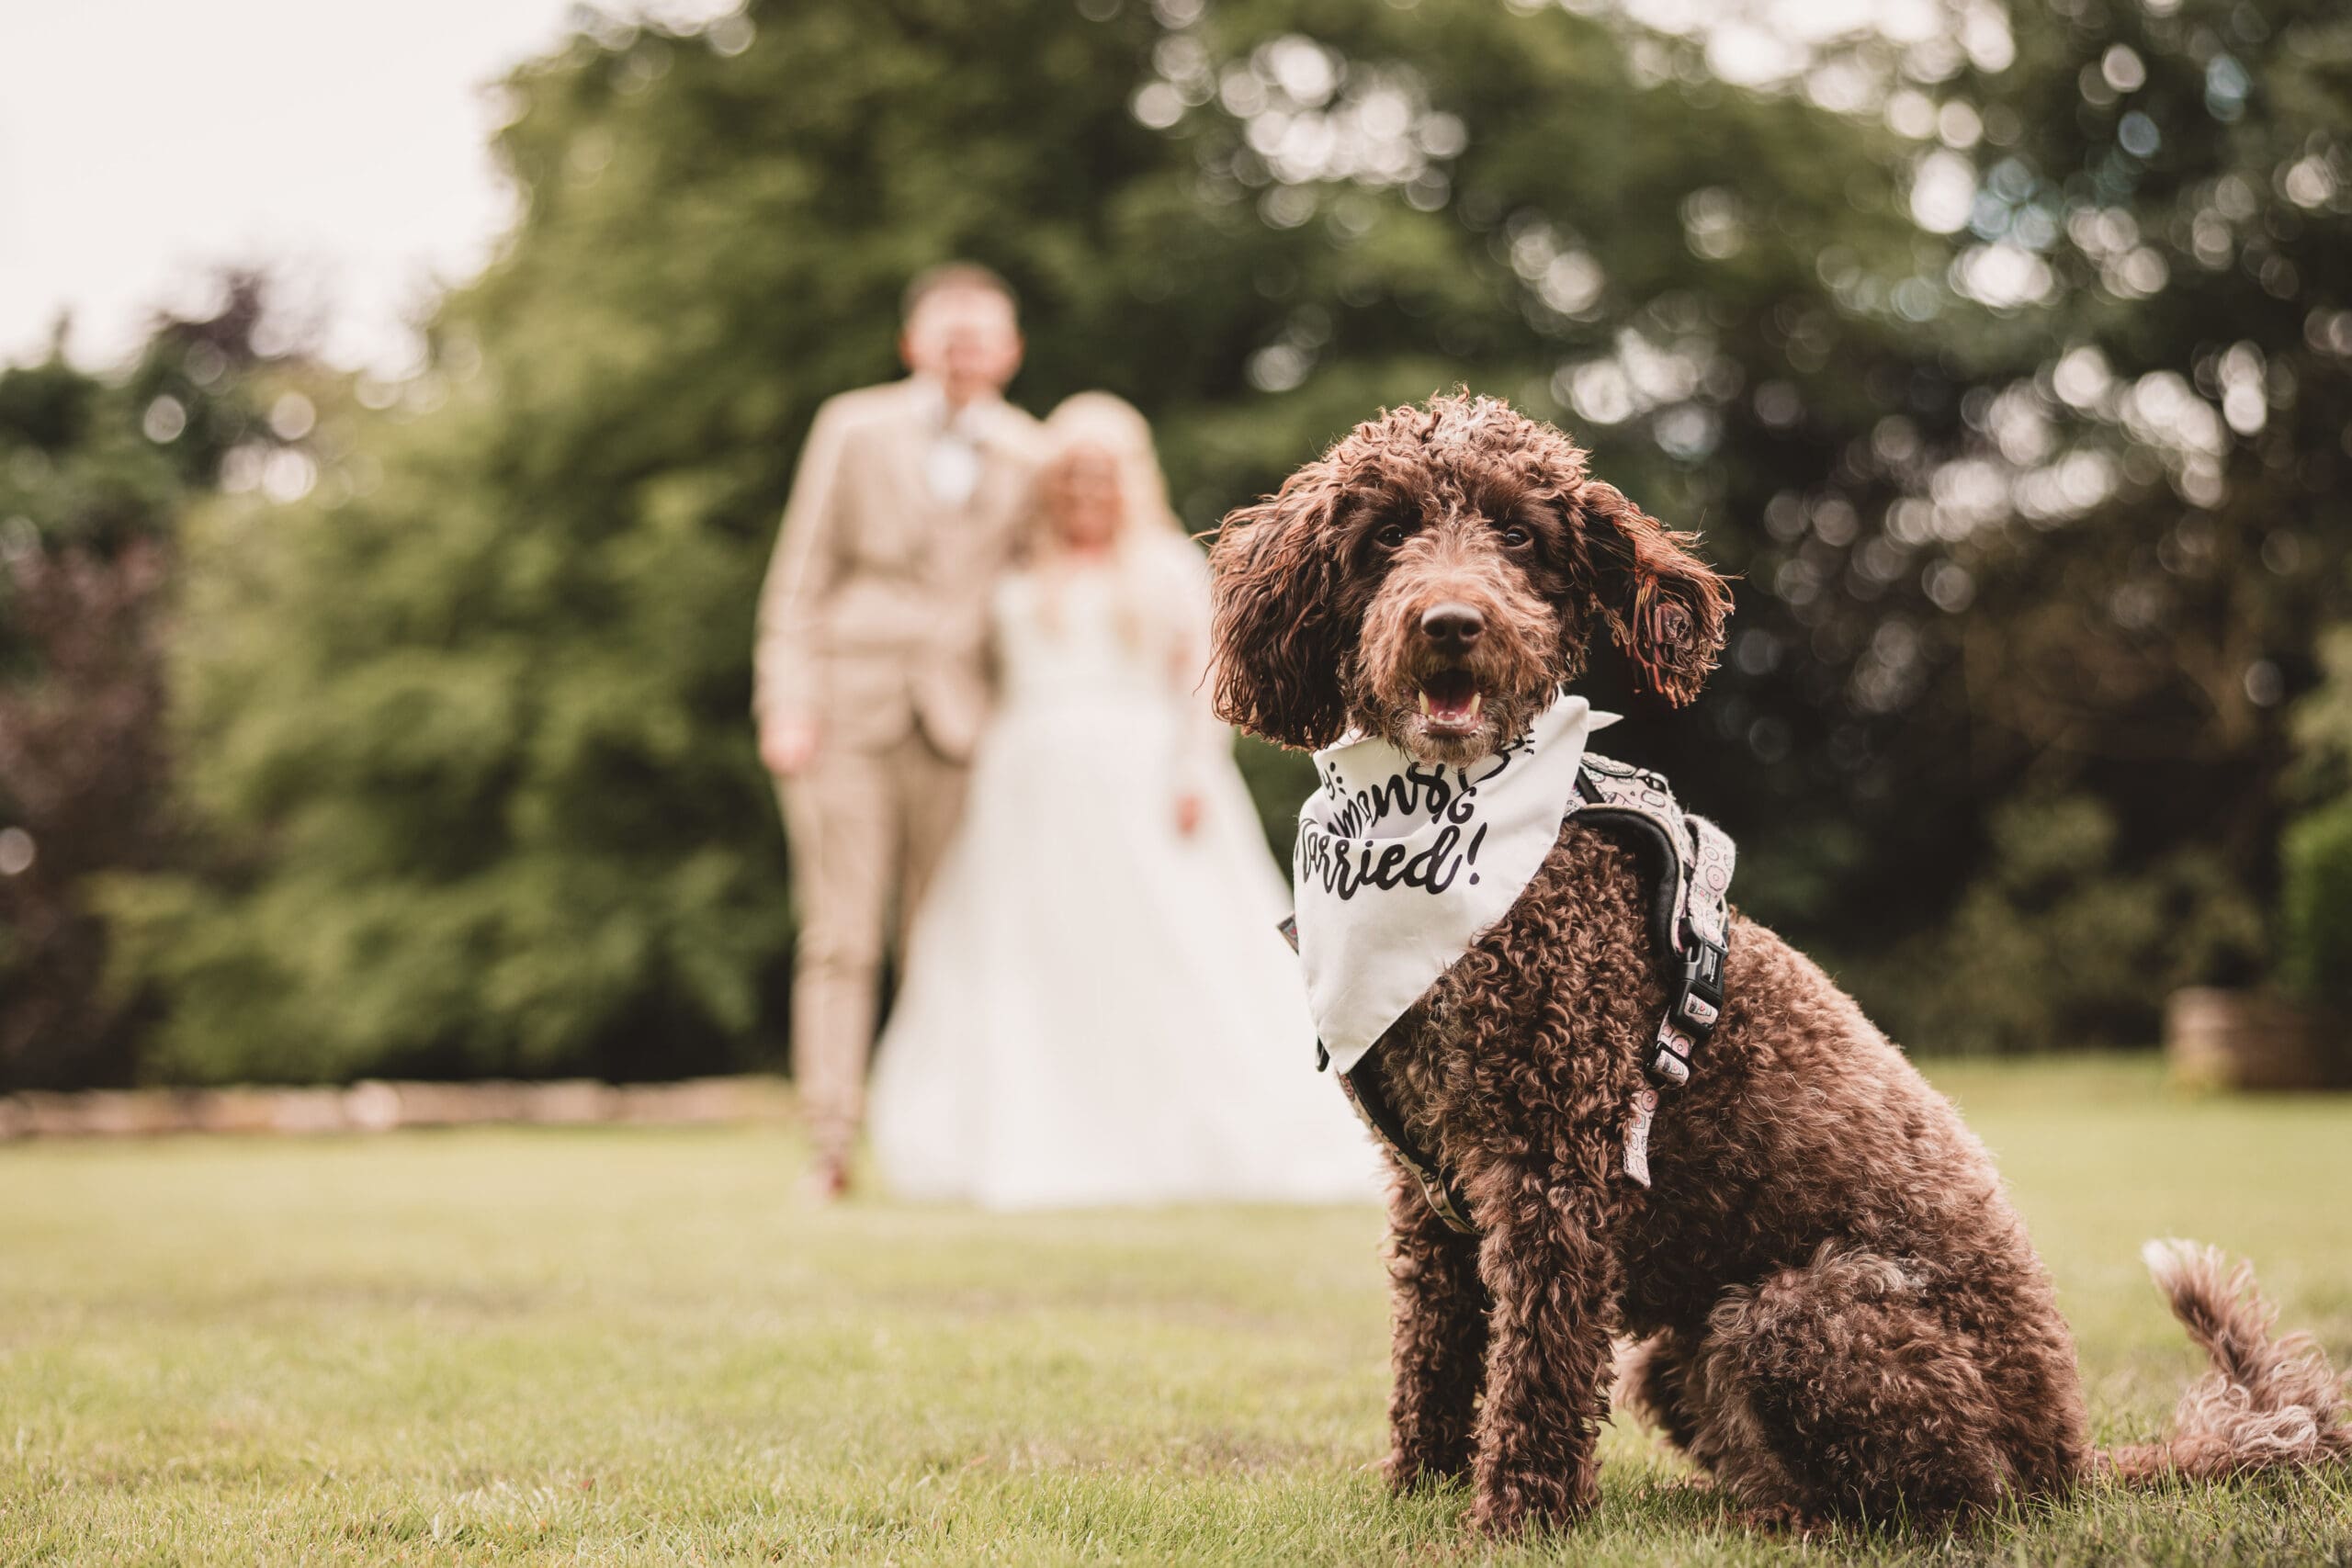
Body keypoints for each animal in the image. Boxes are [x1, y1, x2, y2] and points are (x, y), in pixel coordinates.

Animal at [1213, 389, 2352, 1532]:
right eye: (1387, 536)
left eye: (1520, 538)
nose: (1451, 625)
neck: (1442, 833)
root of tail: (2068, 1457)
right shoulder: (1430, 1198)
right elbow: (1436, 1356)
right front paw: (1418, 1492)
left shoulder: (1555, 1169)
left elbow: (1533, 1369)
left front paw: (1515, 1521)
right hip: (1679, 1354)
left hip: (1796, 1308)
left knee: (1953, 1497)